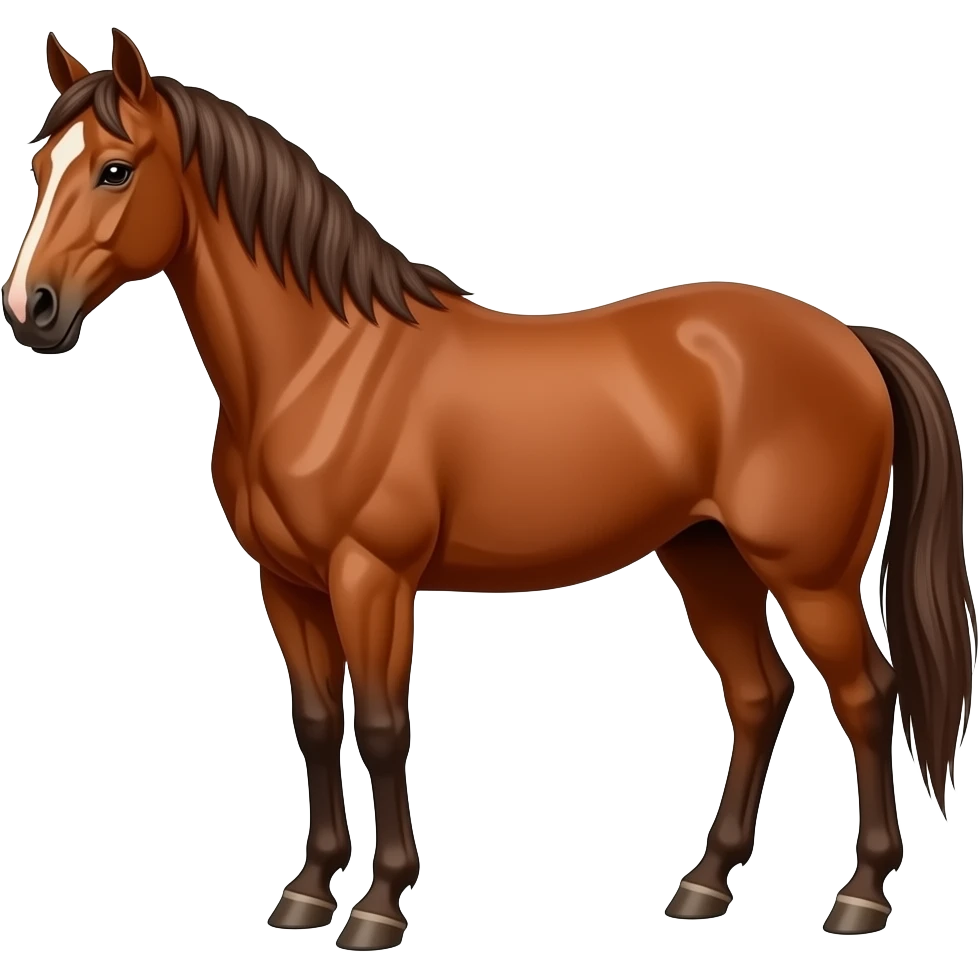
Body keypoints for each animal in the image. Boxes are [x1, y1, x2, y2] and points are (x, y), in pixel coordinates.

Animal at [2, 29, 974, 947]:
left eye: (115, 169)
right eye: (40, 166)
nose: (30, 310)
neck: (320, 364)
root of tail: (847, 339)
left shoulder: (371, 578)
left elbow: (383, 726)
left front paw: (379, 907)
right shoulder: (287, 585)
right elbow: (314, 724)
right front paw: (307, 892)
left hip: (809, 576)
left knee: (865, 695)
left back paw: (859, 895)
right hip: (705, 558)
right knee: (757, 693)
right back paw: (705, 882)